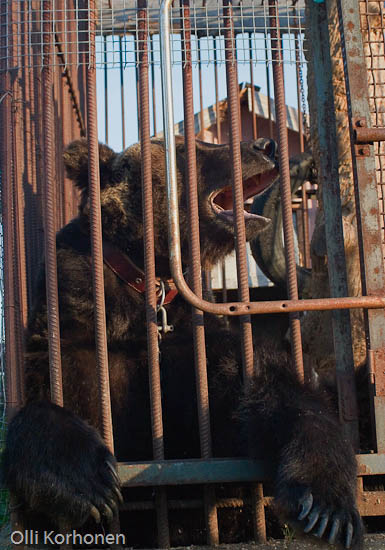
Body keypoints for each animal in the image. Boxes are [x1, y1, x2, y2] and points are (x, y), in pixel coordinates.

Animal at [2, 136, 360, 548]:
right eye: (189, 147)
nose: (266, 145)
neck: (146, 278)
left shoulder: (196, 347)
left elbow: (269, 399)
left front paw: (326, 505)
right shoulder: (74, 331)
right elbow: (43, 397)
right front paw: (89, 485)